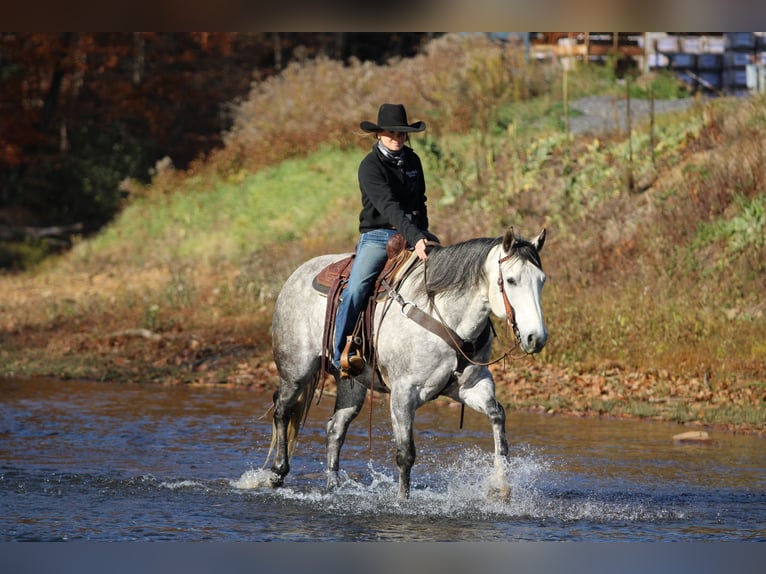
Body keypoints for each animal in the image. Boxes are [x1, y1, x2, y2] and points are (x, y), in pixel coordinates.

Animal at [265, 226, 547, 500]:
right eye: (511, 280)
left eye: (542, 280)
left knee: (335, 429)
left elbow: (497, 417)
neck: (443, 314)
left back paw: (333, 487)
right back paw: (277, 473)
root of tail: (296, 275)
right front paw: (402, 500)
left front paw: (501, 487)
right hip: (296, 370)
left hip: (351, 384)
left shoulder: (471, 386)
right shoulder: (404, 393)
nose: (536, 338)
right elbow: (405, 454)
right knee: (282, 410)